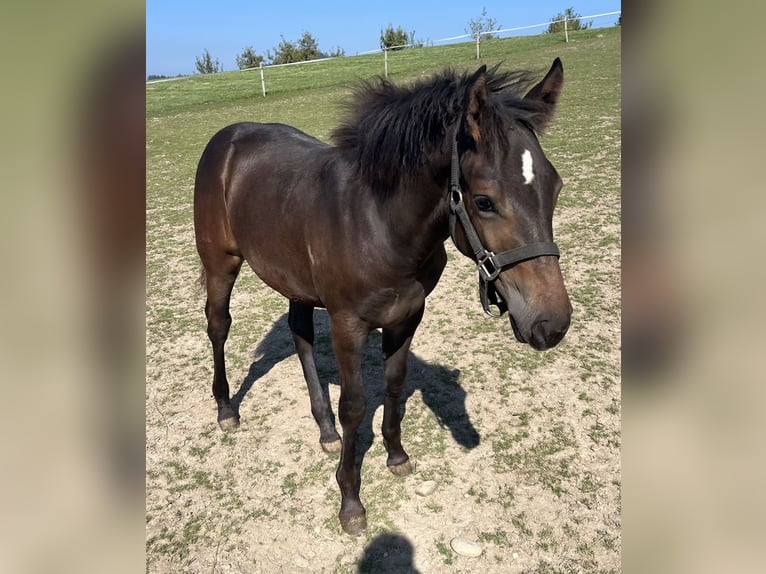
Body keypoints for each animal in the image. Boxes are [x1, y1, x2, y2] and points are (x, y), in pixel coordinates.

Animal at [195, 58, 572, 536]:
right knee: (218, 325)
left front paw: (396, 456)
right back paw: (227, 409)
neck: (379, 224)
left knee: (300, 335)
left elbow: (394, 384)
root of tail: (227, 137)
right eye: (484, 201)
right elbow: (355, 406)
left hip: (296, 279)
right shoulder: (347, 324)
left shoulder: (406, 315)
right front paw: (350, 501)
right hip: (220, 263)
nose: (552, 323)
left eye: (555, 188)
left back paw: (325, 431)